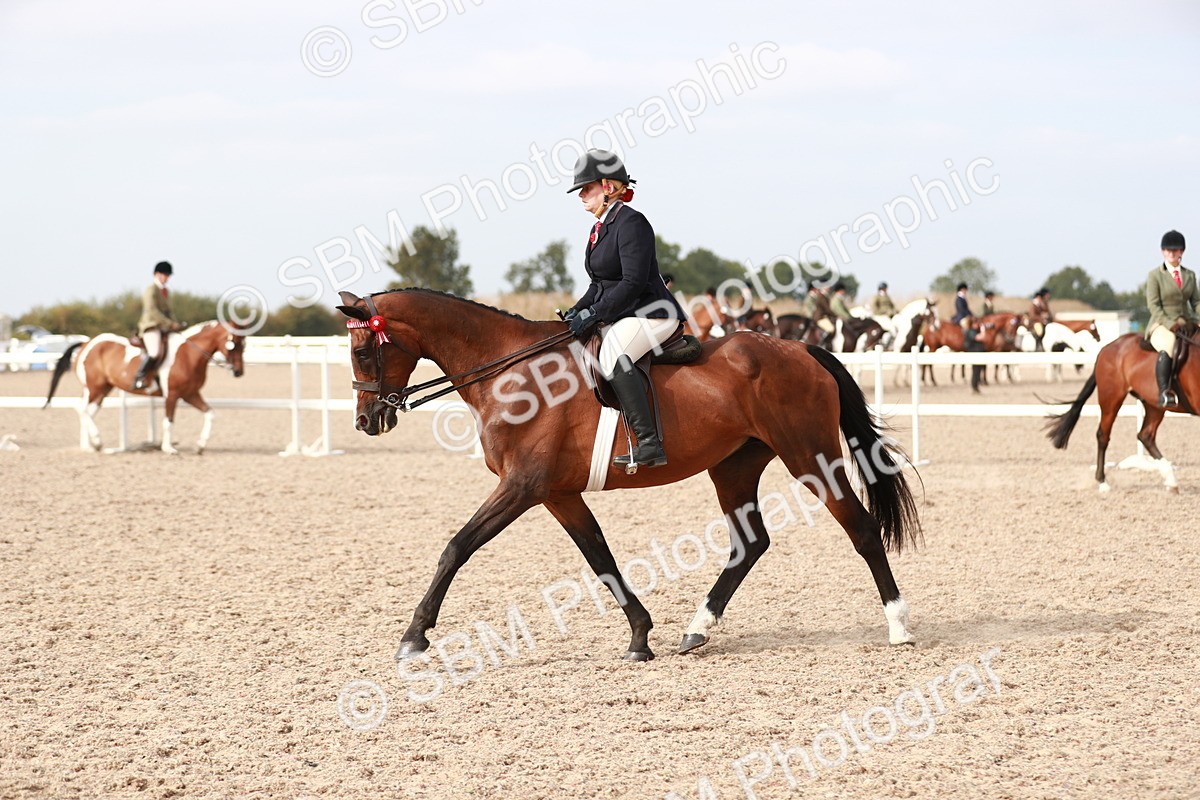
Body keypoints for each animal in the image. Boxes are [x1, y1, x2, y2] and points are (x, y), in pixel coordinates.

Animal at [44, 321, 246, 454]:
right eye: (234, 344)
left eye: (244, 344)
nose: (238, 372)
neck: (188, 355)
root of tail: (87, 343)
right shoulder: (172, 395)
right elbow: (168, 421)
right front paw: (168, 448)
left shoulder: (190, 394)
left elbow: (209, 413)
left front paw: (200, 445)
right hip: (95, 388)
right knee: (83, 410)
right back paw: (96, 442)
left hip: (102, 390)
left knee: (86, 411)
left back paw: (92, 445)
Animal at [337, 289, 921, 662]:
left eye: (363, 350)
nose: (367, 421)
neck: (510, 371)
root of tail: (800, 348)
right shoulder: (557, 493)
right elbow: (601, 558)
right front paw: (641, 637)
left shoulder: (521, 487)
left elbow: (456, 547)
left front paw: (414, 637)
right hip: (734, 467)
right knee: (750, 543)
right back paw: (695, 630)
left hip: (811, 458)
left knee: (861, 529)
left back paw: (899, 627)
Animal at [1047, 329, 1199, 493]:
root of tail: (1107, 348)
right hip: (1111, 398)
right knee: (1103, 436)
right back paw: (1103, 482)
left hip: (1154, 405)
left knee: (1145, 436)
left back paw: (1171, 481)